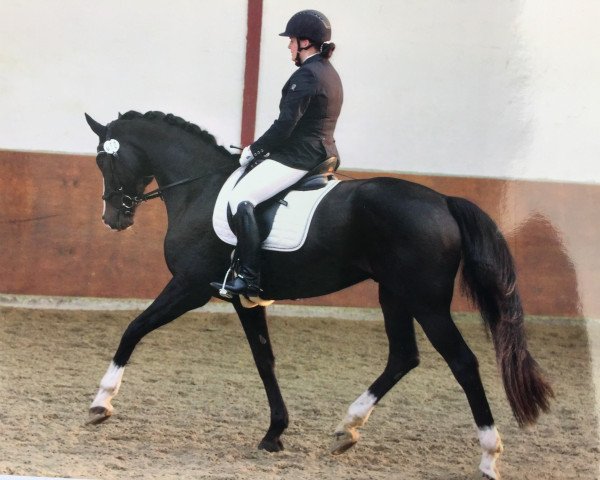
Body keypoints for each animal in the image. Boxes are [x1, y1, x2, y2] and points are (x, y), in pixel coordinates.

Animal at [84, 110, 552, 478]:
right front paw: (274, 433)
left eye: (104, 159)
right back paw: (347, 428)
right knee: (403, 356)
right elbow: (265, 361)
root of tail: (443, 200)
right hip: (394, 295)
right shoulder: (245, 299)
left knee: (463, 363)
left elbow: (134, 328)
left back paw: (489, 457)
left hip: (425, 301)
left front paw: (101, 403)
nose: (112, 218)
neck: (200, 187)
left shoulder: (190, 286)